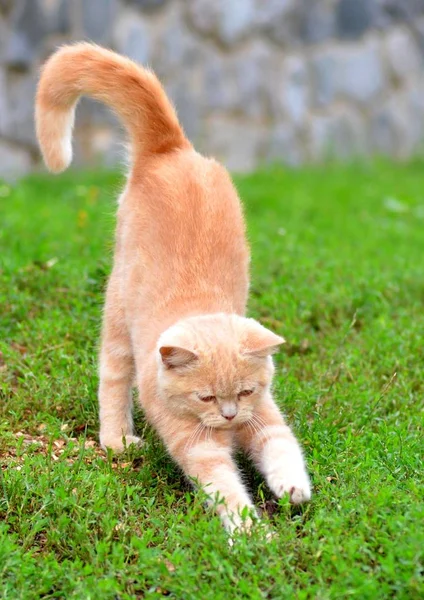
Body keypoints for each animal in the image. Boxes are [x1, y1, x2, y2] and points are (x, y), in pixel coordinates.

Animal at [35, 43, 312, 536]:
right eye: (206, 397)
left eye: (244, 392)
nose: (229, 416)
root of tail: (171, 146)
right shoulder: (198, 446)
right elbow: (227, 489)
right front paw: (252, 535)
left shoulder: (265, 417)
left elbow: (282, 446)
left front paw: (292, 487)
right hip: (117, 311)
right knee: (111, 377)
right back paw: (117, 440)